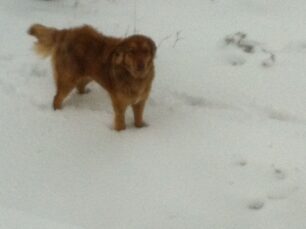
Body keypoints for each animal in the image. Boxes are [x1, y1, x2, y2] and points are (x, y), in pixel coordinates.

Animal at [27, 24, 157, 131]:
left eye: (145, 51)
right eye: (132, 51)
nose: (141, 65)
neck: (134, 77)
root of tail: (66, 32)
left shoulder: (140, 102)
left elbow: (138, 120)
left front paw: (139, 130)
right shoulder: (119, 105)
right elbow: (120, 124)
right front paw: (121, 135)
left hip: (89, 74)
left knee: (79, 86)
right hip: (68, 79)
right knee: (57, 98)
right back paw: (58, 113)